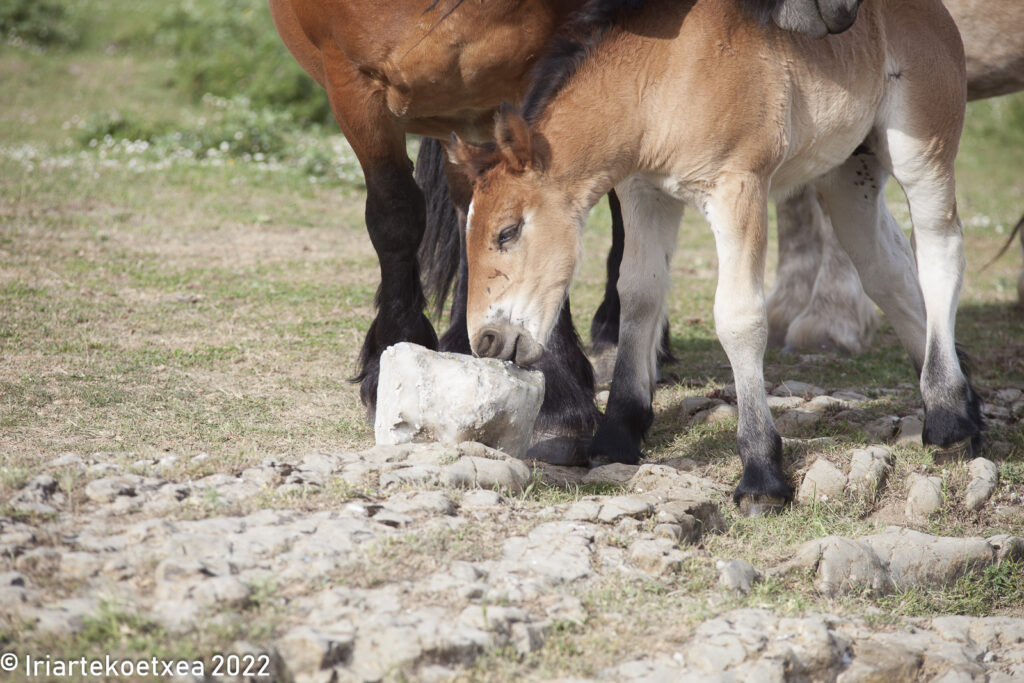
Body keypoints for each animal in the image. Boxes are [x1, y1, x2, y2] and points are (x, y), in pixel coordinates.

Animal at [452, 0, 978, 511]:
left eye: (507, 231)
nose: (487, 341)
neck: (662, 80)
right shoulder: (643, 192)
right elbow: (638, 295)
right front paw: (618, 434)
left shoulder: (738, 187)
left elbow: (739, 318)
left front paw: (762, 475)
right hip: (849, 173)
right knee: (885, 269)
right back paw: (963, 404)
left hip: (922, 146)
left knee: (940, 252)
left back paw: (949, 420)